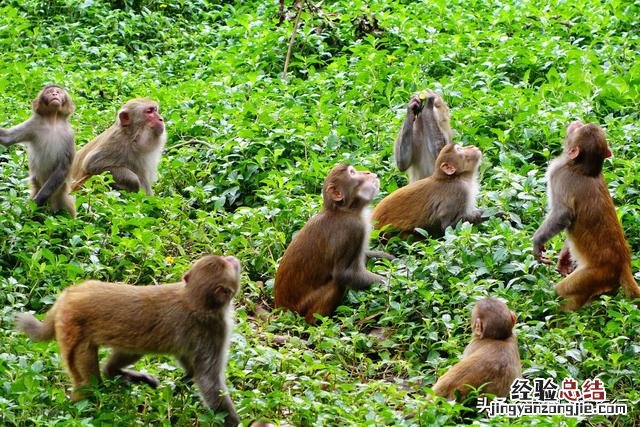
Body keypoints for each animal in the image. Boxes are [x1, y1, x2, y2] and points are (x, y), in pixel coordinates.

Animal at [0, 84, 76, 217]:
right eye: (50, 92)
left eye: (59, 92)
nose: (55, 94)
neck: (53, 121)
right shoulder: (33, 125)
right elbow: (7, 139)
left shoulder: (69, 135)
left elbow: (64, 166)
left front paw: (38, 201)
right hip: (37, 187)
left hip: (61, 194)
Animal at [17, 256, 244, 426]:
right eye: (227, 263)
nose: (232, 258)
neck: (194, 300)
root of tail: (68, 296)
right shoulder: (215, 330)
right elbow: (209, 380)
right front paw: (233, 421)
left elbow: (190, 362)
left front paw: (186, 380)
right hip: (72, 329)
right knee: (87, 381)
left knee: (132, 350)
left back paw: (114, 372)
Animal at [274, 164, 392, 324]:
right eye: (352, 173)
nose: (367, 172)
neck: (344, 210)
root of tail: (281, 310)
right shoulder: (352, 228)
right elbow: (344, 274)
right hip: (301, 310)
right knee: (336, 284)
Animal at [528, 120, 640, 310]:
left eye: (579, 129)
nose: (578, 122)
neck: (582, 169)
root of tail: (624, 263)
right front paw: (564, 258)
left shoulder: (559, 176)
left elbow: (562, 215)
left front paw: (537, 242)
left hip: (594, 275)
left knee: (562, 292)